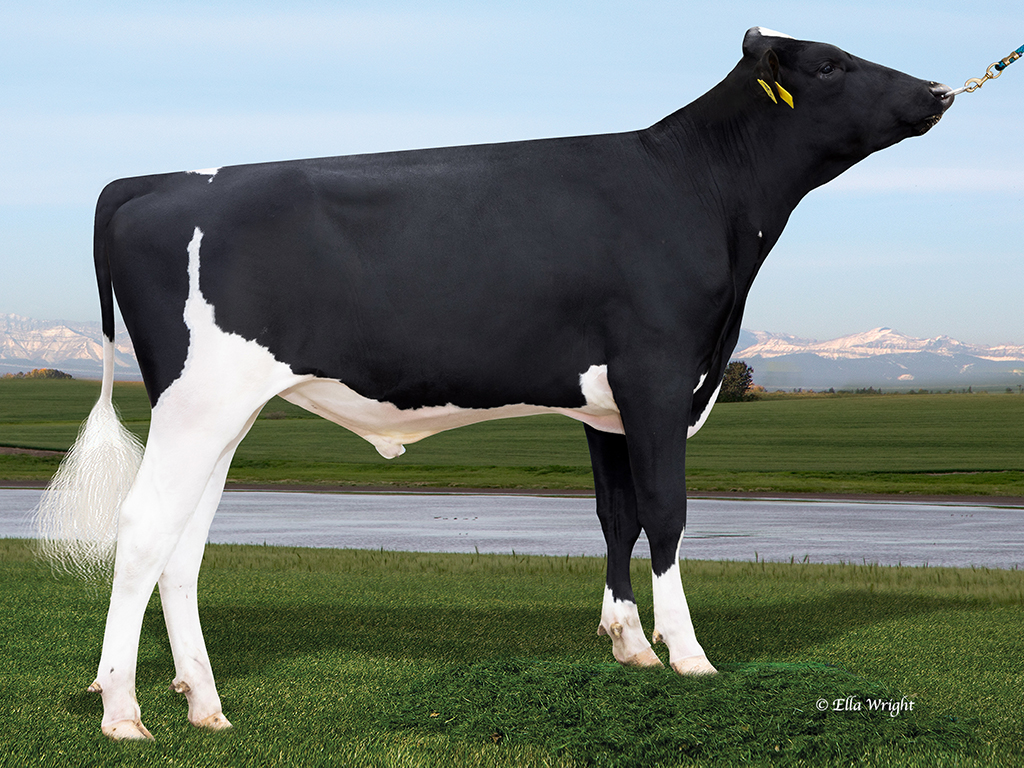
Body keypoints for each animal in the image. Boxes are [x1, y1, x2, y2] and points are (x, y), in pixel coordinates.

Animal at [35, 27, 953, 740]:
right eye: (830, 64)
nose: (941, 90)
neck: (699, 193)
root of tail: (159, 181)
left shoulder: (607, 404)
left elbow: (616, 515)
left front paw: (628, 642)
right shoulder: (659, 376)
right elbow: (667, 513)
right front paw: (688, 654)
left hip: (224, 412)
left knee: (184, 544)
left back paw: (203, 702)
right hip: (198, 400)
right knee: (143, 528)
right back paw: (123, 710)